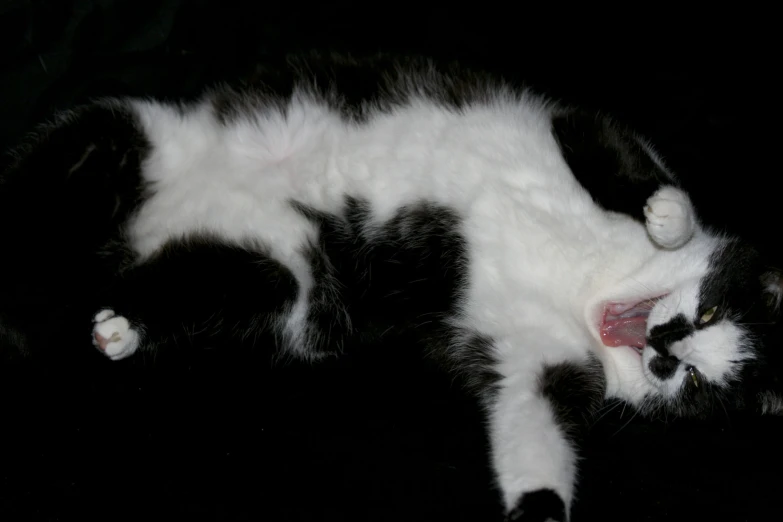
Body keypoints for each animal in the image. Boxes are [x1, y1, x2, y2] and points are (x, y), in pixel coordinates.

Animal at [1, 53, 783, 520]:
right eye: (709, 307)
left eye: (693, 383)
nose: (664, 345)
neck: (590, 279)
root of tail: (146, 230)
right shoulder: (572, 131)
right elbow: (639, 170)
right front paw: (666, 220)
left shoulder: (532, 364)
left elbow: (531, 433)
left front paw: (538, 511)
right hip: (133, 135)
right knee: (44, 174)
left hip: (283, 273)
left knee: (209, 284)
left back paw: (120, 324)